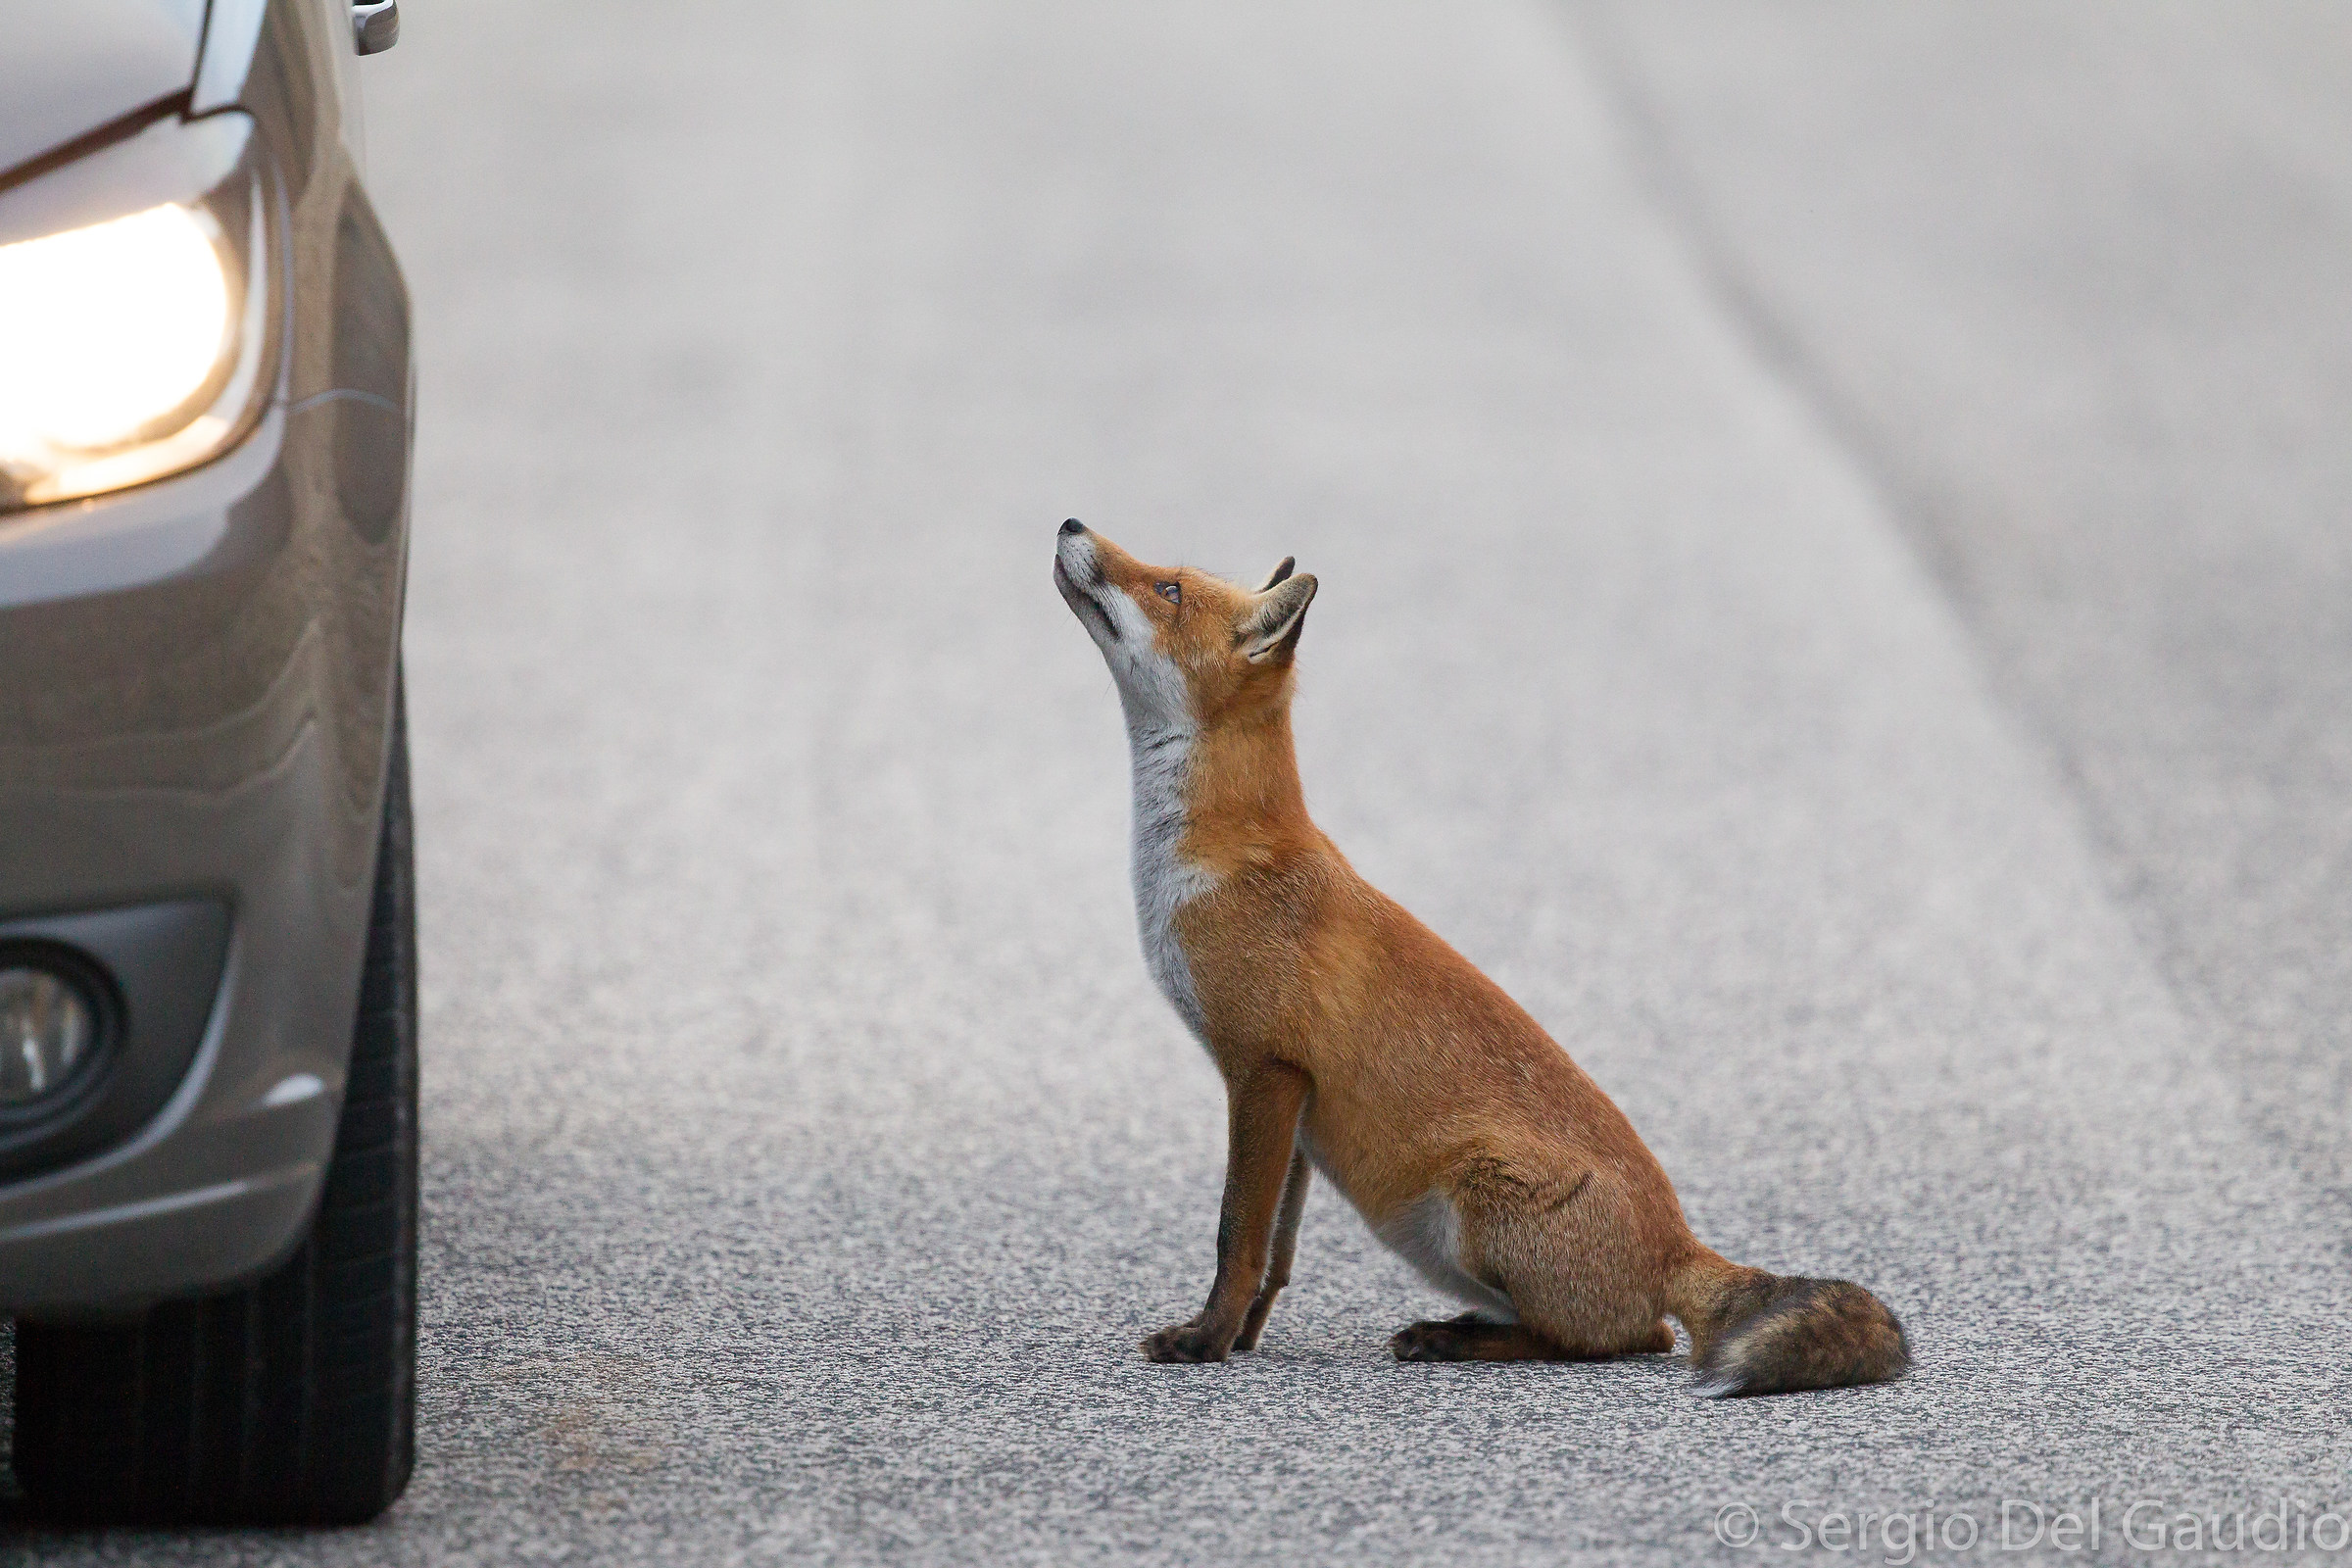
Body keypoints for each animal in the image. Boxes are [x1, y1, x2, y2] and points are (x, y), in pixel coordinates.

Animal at [1052, 518, 1909, 1396]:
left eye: (1170, 589)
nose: (1072, 524)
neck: (1213, 865)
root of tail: (1679, 1242)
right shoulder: (1292, 1102)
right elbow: (1278, 1255)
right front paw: (1246, 1338)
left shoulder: (1263, 1069)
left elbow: (1237, 1238)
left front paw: (1206, 1343)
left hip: (1473, 1198)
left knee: (1629, 1338)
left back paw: (1450, 1338)